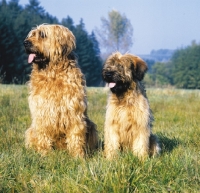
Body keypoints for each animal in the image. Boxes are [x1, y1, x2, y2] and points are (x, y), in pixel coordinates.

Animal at [23, 23, 97, 157]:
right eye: (32, 34)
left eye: (43, 35)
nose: (25, 43)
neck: (53, 73)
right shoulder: (41, 111)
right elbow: (43, 133)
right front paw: (44, 153)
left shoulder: (74, 111)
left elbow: (75, 135)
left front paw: (78, 156)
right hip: (31, 130)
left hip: (92, 127)